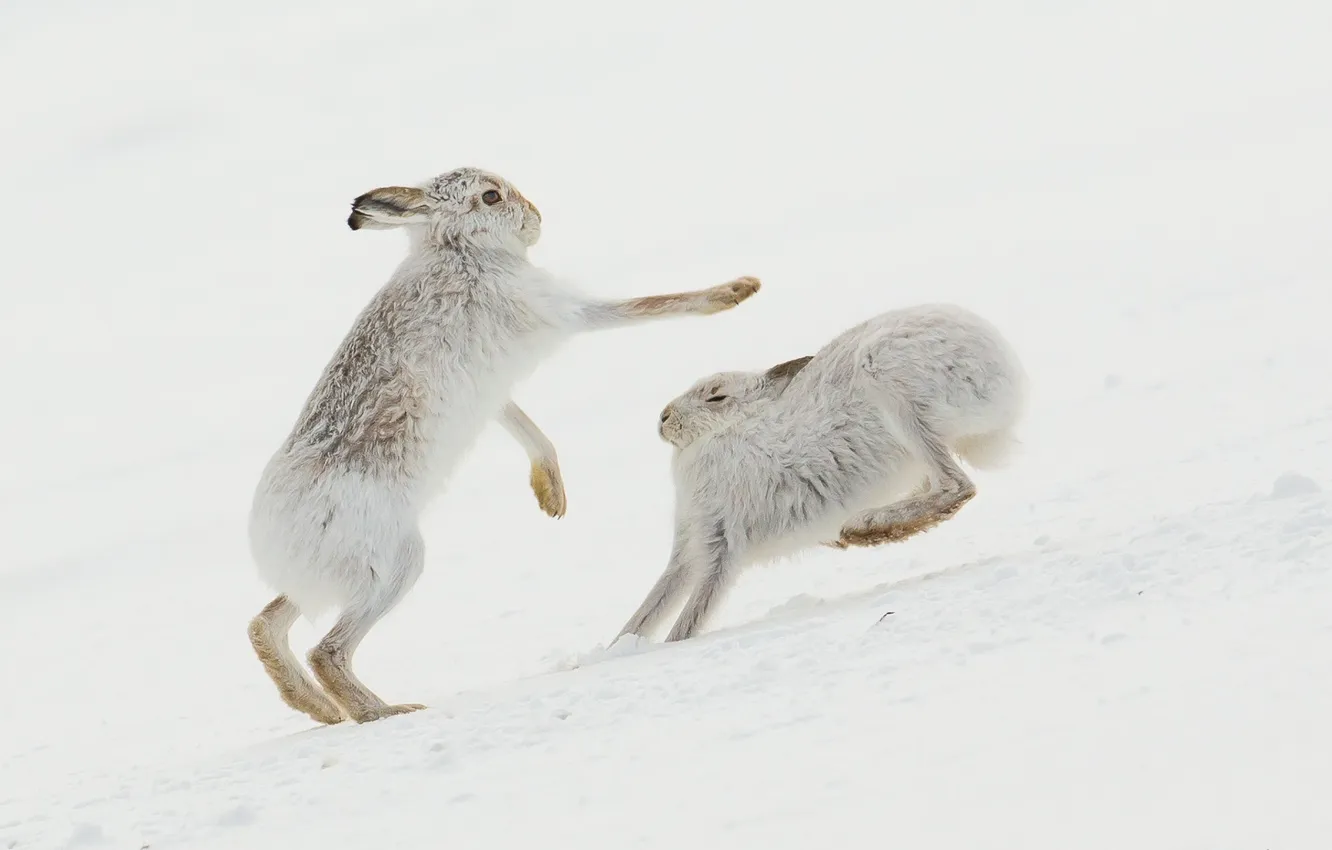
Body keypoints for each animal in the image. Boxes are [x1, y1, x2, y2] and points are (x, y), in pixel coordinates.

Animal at [247, 166, 762, 724]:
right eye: (491, 197)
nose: (535, 217)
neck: (460, 249)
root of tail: (269, 541)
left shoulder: (491, 388)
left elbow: (522, 424)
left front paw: (550, 495)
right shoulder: (556, 309)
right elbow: (641, 308)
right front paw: (736, 291)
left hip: (338, 573)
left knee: (268, 621)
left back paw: (315, 706)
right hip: (393, 560)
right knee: (329, 650)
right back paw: (387, 712)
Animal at [615, 303, 1027, 644]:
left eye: (717, 396)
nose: (664, 418)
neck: (729, 429)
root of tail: (1006, 367)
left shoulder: (723, 541)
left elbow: (692, 614)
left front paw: (666, 649)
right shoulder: (690, 542)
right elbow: (653, 604)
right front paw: (618, 649)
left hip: (889, 381)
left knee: (956, 486)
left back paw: (864, 526)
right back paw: (859, 535)